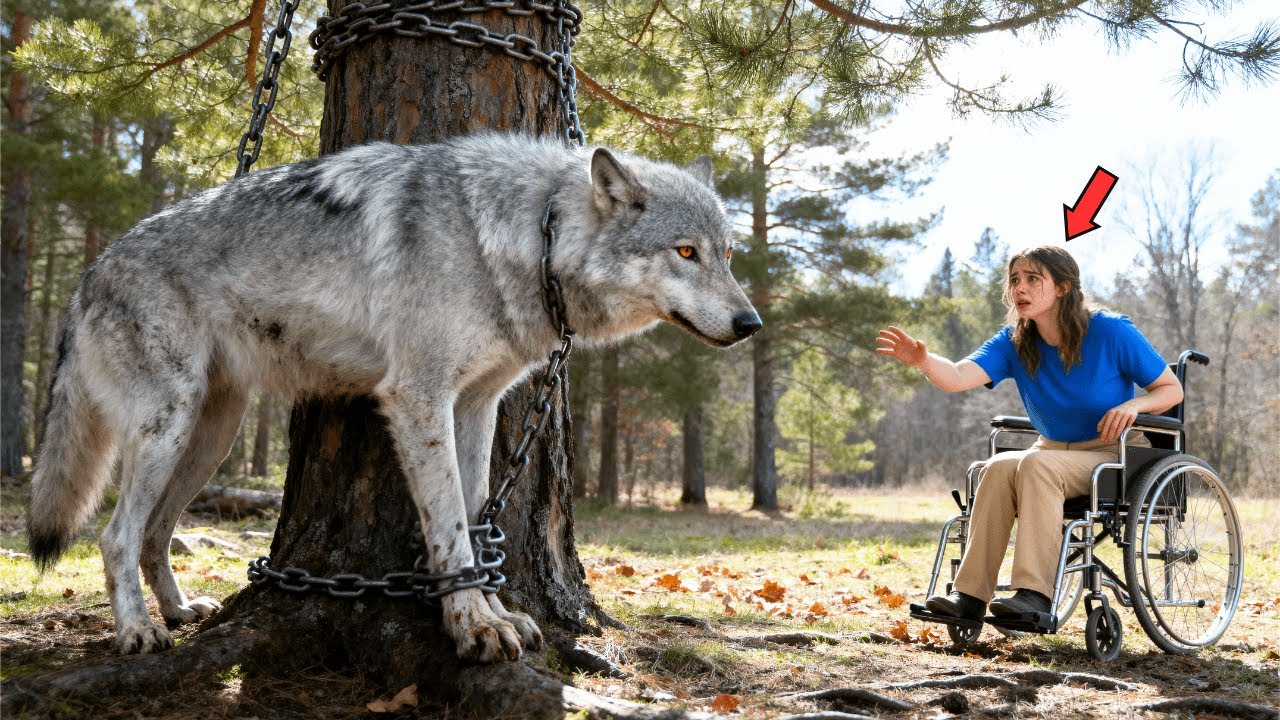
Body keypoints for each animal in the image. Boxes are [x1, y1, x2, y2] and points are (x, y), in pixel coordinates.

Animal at [27, 133, 761, 662]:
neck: (534, 235)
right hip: (168, 428)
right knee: (116, 535)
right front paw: (471, 625)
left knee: (155, 533)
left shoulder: (476, 406)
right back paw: (139, 633)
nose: (751, 323)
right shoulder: (417, 397)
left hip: (210, 438)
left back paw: (180, 612)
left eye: (727, 255)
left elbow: (473, 518)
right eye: (685, 252)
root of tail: (89, 274)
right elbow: (449, 527)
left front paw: (493, 611)